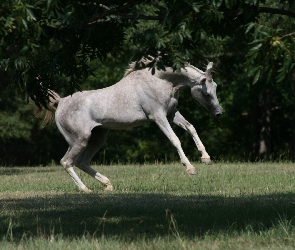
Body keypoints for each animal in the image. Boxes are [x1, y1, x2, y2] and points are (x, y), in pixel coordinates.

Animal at [38, 60, 223, 191]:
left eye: (215, 87)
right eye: (206, 92)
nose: (219, 113)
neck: (160, 80)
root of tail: (60, 102)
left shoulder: (171, 112)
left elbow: (191, 128)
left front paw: (206, 158)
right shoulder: (158, 116)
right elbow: (175, 139)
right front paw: (190, 168)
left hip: (98, 138)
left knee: (81, 162)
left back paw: (107, 184)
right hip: (80, 140)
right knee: (66, 162)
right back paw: (85, 189)